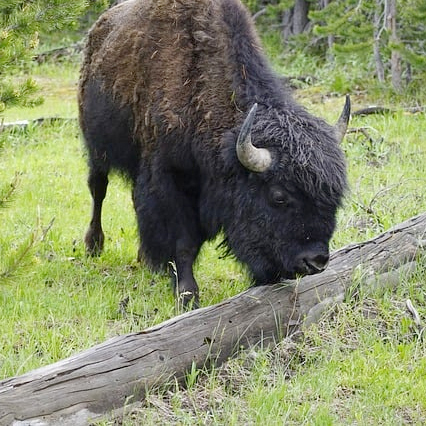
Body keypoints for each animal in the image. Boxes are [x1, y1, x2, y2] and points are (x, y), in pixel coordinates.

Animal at [79, 0, 350, 308]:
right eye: (279, 196)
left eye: (334, 198)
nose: (316, 261)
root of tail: (99, 30)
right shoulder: (171, 181)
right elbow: (183, 243)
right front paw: (187, 296)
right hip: (97, 147)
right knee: (98, 189)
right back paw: (94, 246)